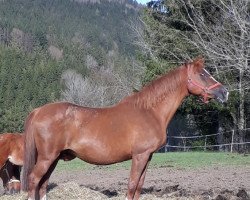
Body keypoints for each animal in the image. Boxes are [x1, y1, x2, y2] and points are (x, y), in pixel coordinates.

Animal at [22, 57, 229, 200]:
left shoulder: (147, 156)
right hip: (47, 157)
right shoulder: (139, 156)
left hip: (53, 158)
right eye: (202, 74)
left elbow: (138, 187)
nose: (224, 92)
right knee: (34, 181)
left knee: (42, 185)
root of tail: (39, 111)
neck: (149, 111)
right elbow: (131, 185)